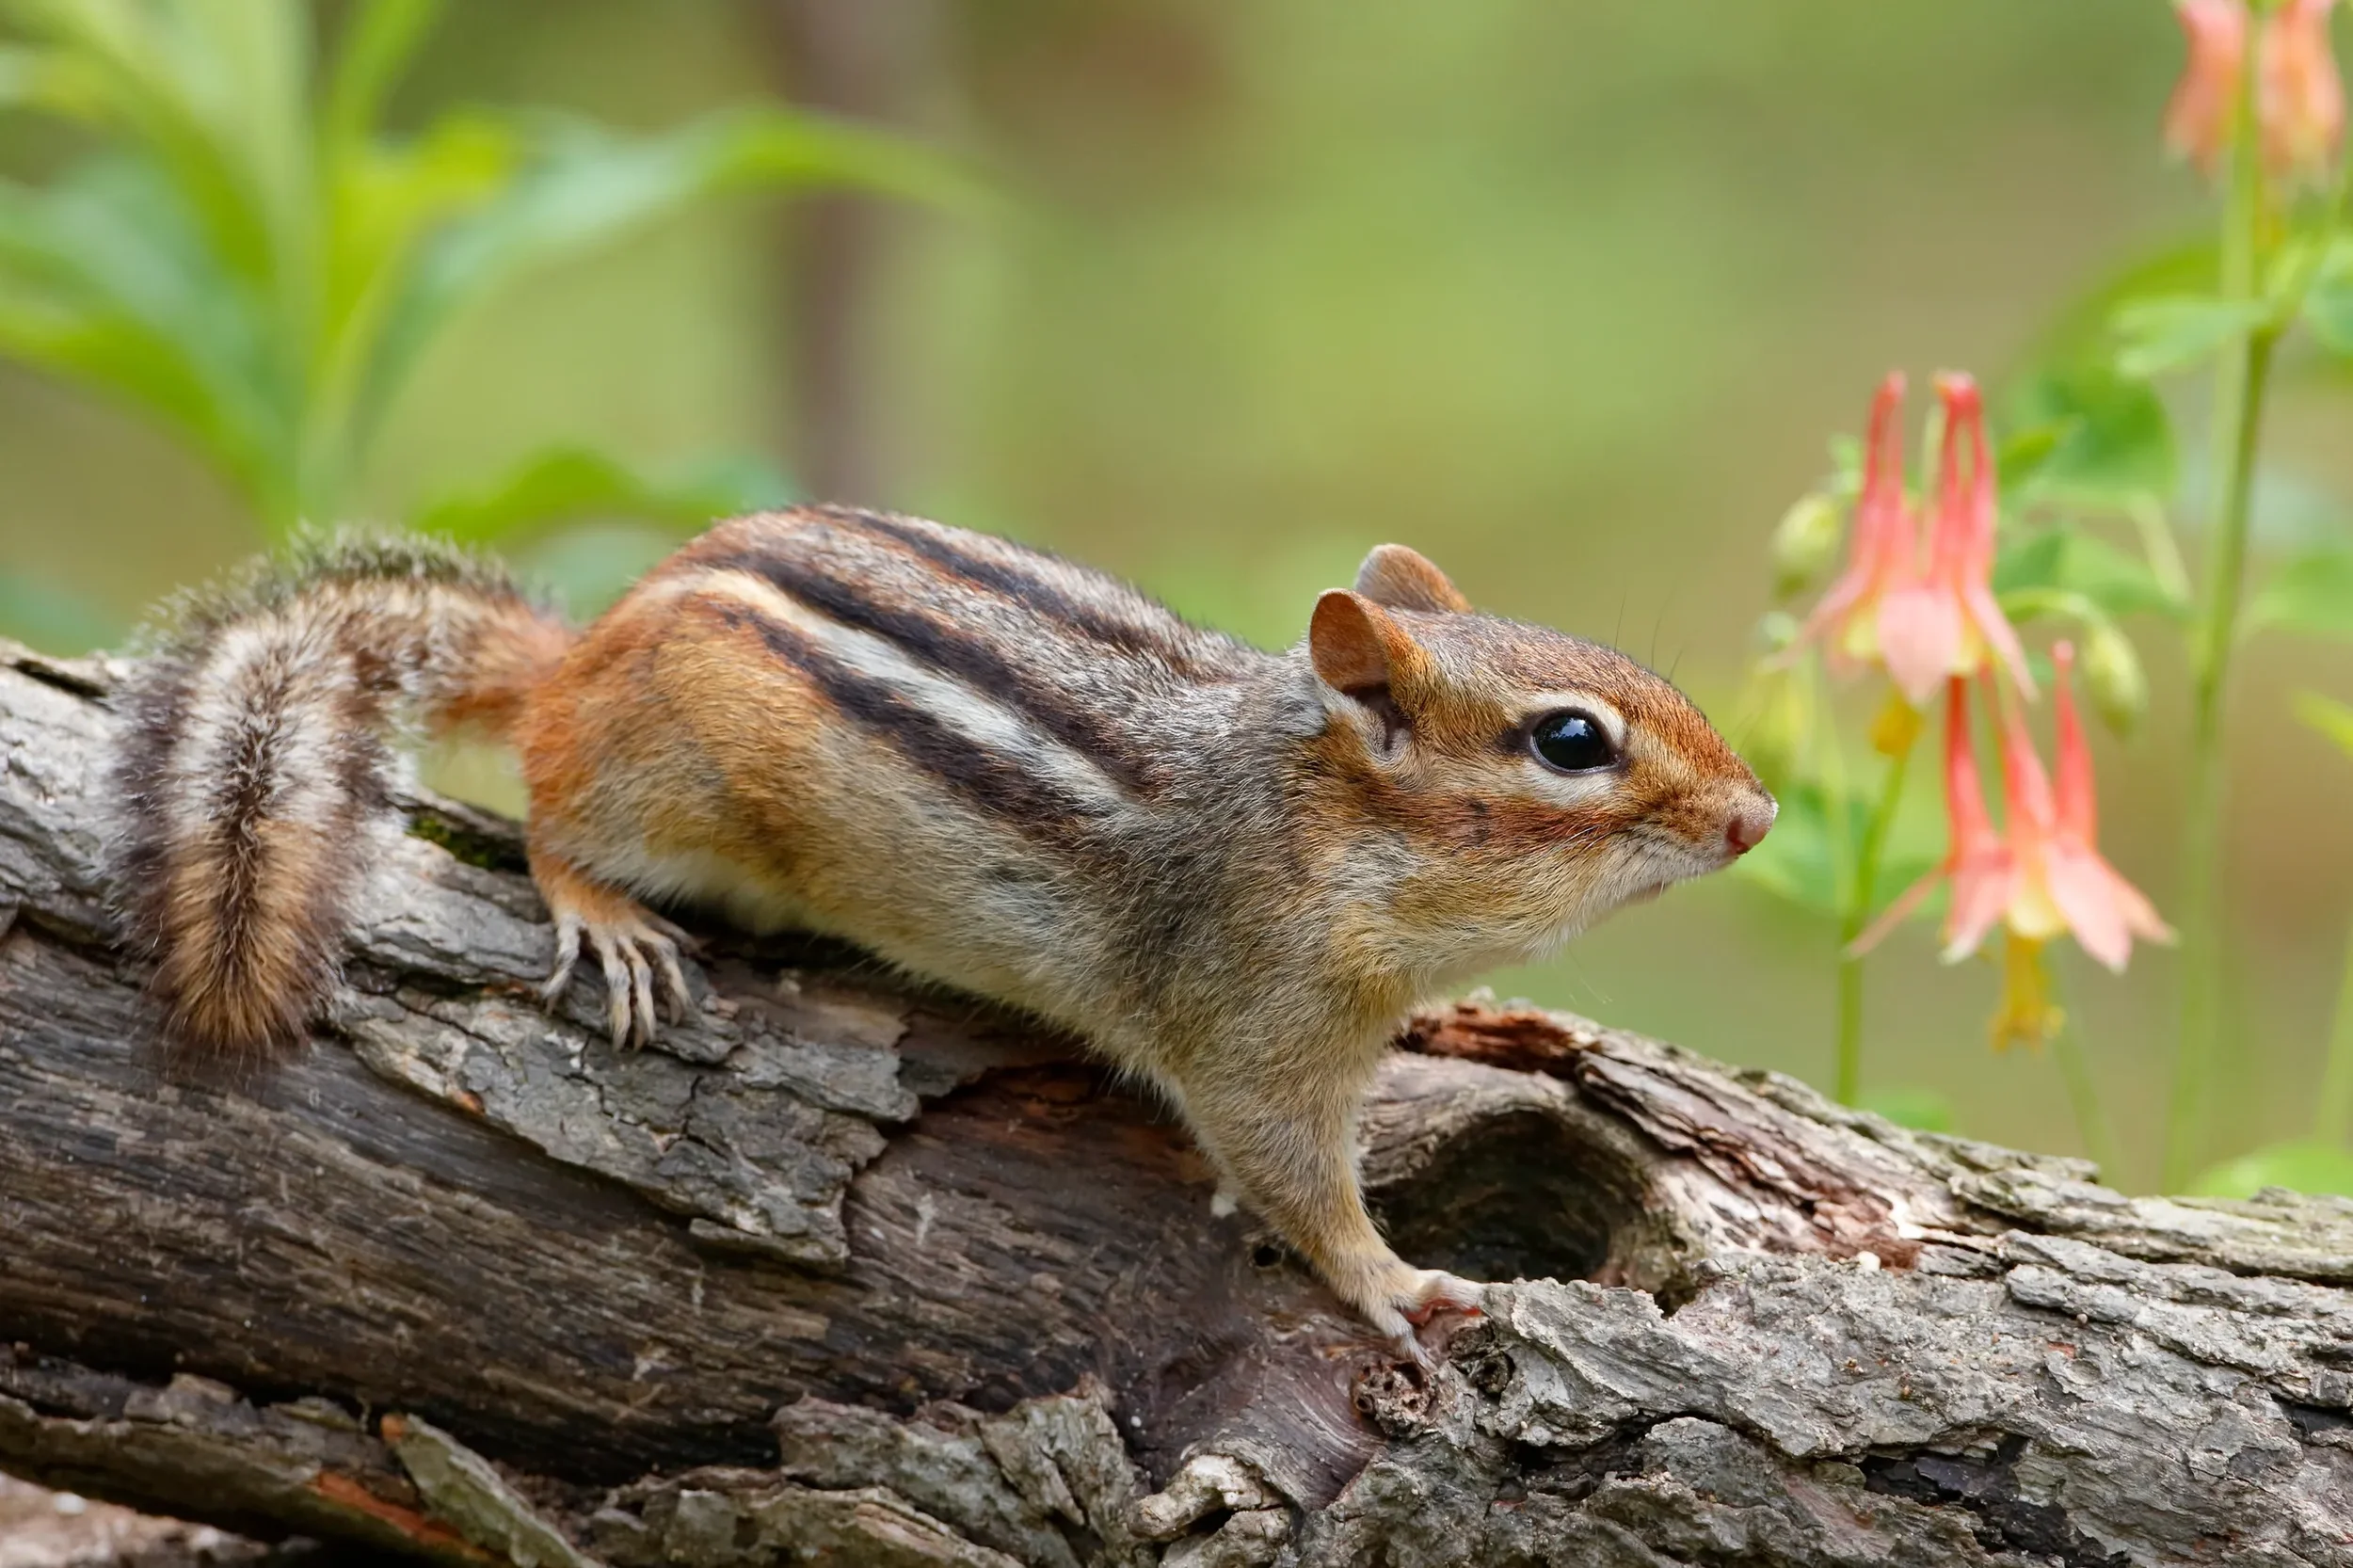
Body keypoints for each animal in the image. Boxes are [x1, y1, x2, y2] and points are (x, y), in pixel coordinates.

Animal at [105, 507, 1775, 1353]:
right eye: (1571, 740)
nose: (1756, 815)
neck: (1311, 825)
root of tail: (581, 655)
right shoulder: (1252, 1025)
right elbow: (1296, 1181)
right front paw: (1395, 1280)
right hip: (657, 785)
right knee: (550, 810)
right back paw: (605, 911)